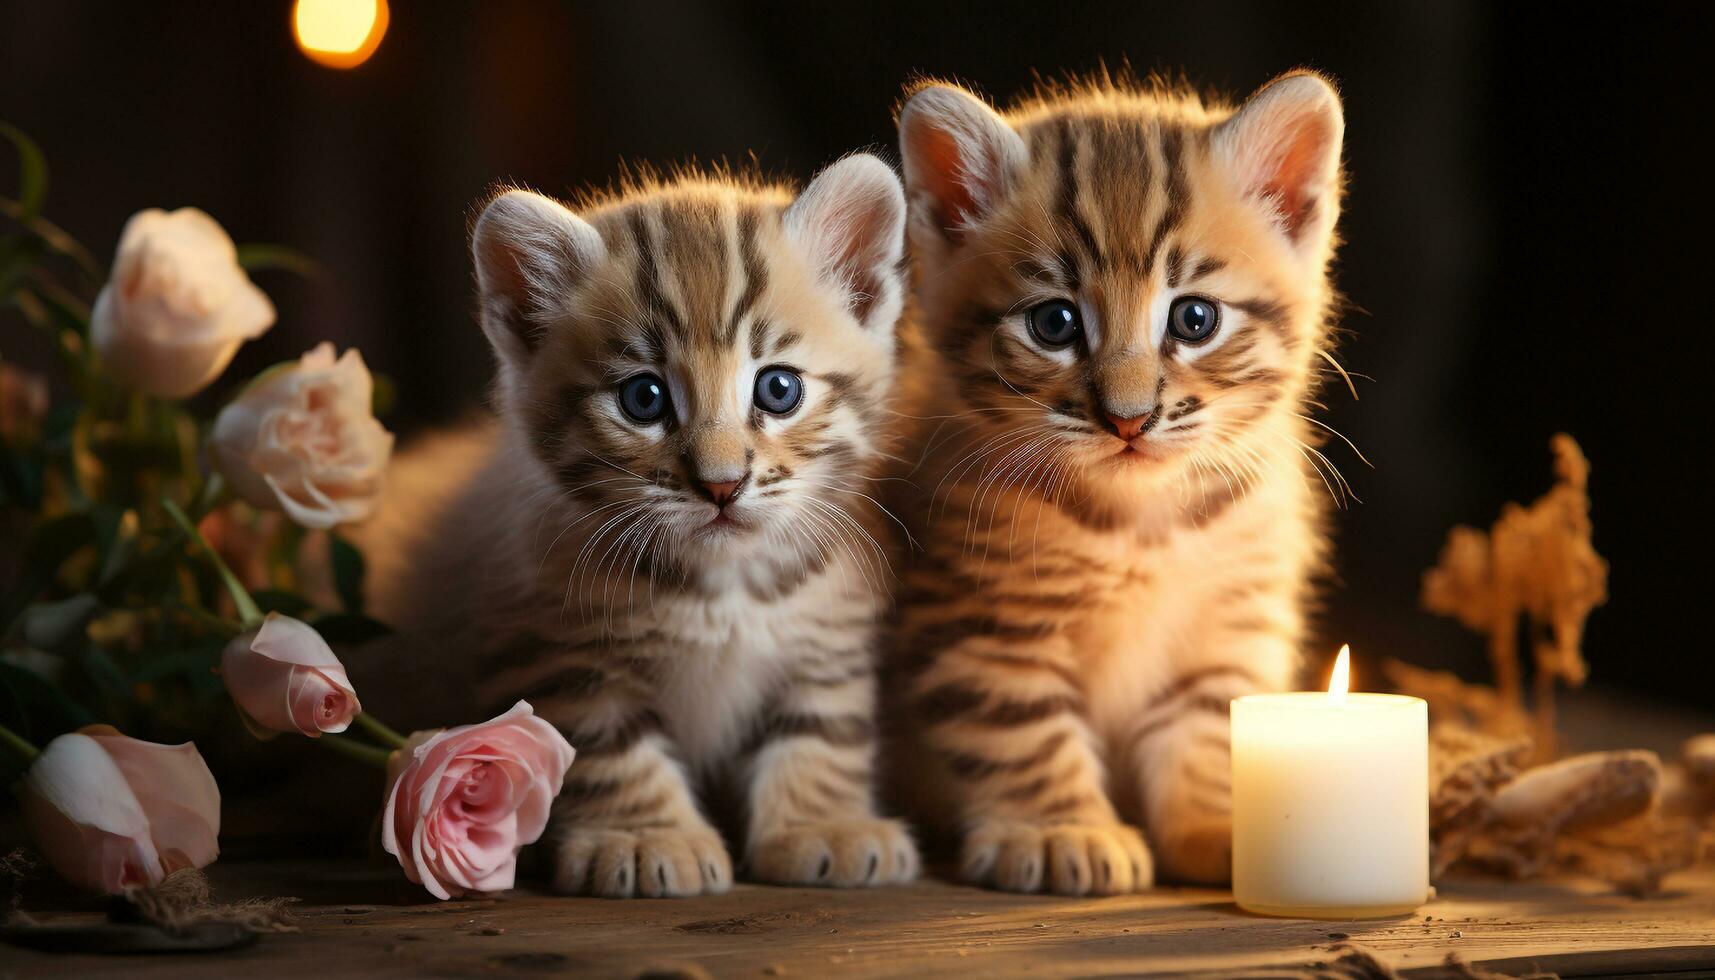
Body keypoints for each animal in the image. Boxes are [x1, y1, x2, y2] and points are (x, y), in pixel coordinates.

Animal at [367, 157, 919, 899]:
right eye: (644, 398)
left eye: (778, 390)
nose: (721, 484)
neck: (723, 587)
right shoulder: (558, 650)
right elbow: (609, 748)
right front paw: (643, 836)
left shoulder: (827, 634)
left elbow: (822, 729)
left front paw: (823, 824)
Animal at [884, 72, 1351, 892]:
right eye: (1054, 323)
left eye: (1194, 319)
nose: (1128, 418)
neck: (1142, 521)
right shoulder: (978, 622)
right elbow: (1021, 732)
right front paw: (1061, 829)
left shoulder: (1225, 625)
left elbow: (1207, 726)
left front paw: (1217, 823)